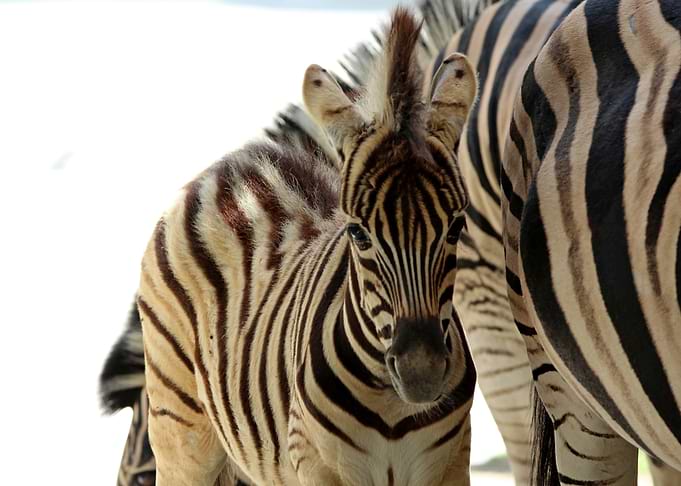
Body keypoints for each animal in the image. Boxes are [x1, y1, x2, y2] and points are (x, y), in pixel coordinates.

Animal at [136, 9, 478, 485]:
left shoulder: (449, 465)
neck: (393, 410)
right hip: (180, 430)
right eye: (358, 234)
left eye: (455, 227)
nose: (421, 373)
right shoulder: (318, 466)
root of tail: (231, 163)